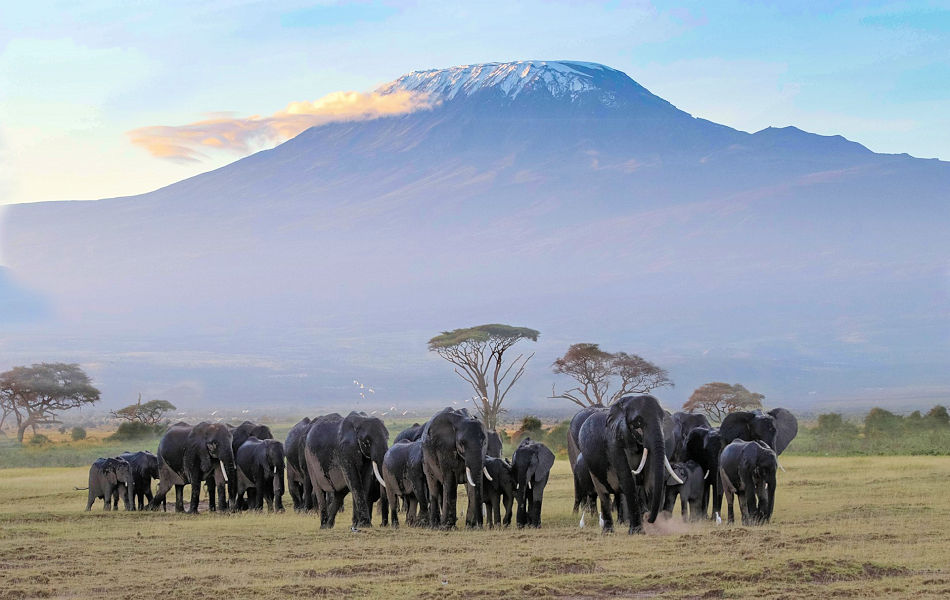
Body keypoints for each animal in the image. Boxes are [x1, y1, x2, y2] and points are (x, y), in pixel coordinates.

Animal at [572, 396, 684, 532]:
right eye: (637, 423)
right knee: (602, 493)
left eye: (662, 421)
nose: (648, 518)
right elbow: (628, 480)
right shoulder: (613, 442)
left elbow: (650, 479)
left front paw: (654, 529)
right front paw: (637, 532)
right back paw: (607, 531)